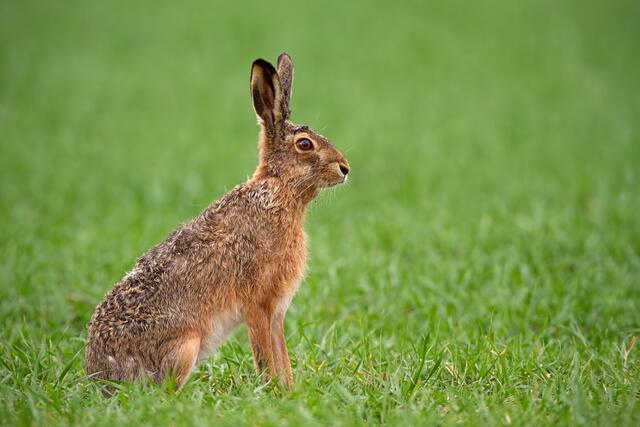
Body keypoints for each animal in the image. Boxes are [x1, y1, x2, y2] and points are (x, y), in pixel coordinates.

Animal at [85, 52, 350, 391]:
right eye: (305, 144)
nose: (345, 168)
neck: (278, 189)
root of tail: (100, 376)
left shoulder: (277, 310)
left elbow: (281, 355)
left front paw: (288, 390)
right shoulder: (258, 304)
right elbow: (266, 355)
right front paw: (273, 391)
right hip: (186, 346)